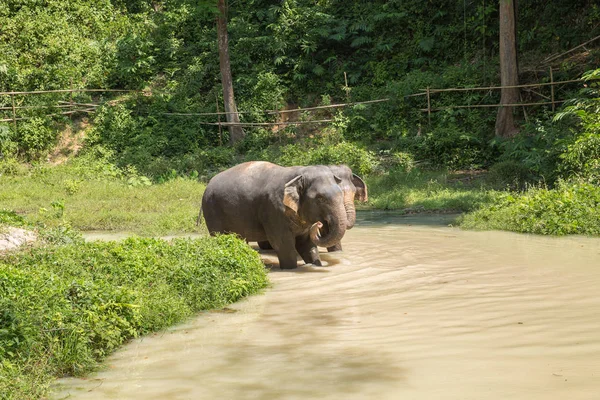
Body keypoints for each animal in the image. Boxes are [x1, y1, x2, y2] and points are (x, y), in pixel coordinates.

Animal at [202, 162, 350, 268]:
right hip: (211, 211)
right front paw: (291, 269)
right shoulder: (273, 210)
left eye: (341, 194)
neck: (297, 174)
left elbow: (306, 243)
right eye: (320, 198)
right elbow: (283, 244)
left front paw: (316, 265)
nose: (319, 224)